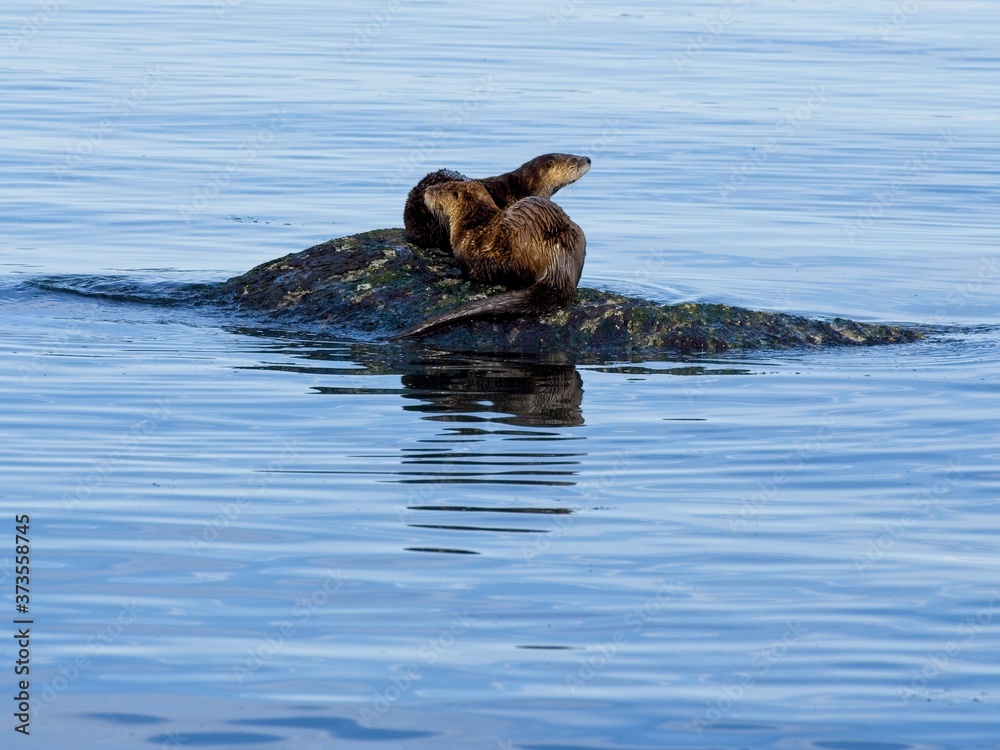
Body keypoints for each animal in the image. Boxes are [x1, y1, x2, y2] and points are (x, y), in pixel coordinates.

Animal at [390, 180, 586, 340]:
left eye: (439, 189)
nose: (427, 190)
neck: (470, 221)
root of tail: (558, 265)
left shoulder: (464, 249)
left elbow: (465, 270)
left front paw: (448, 270)